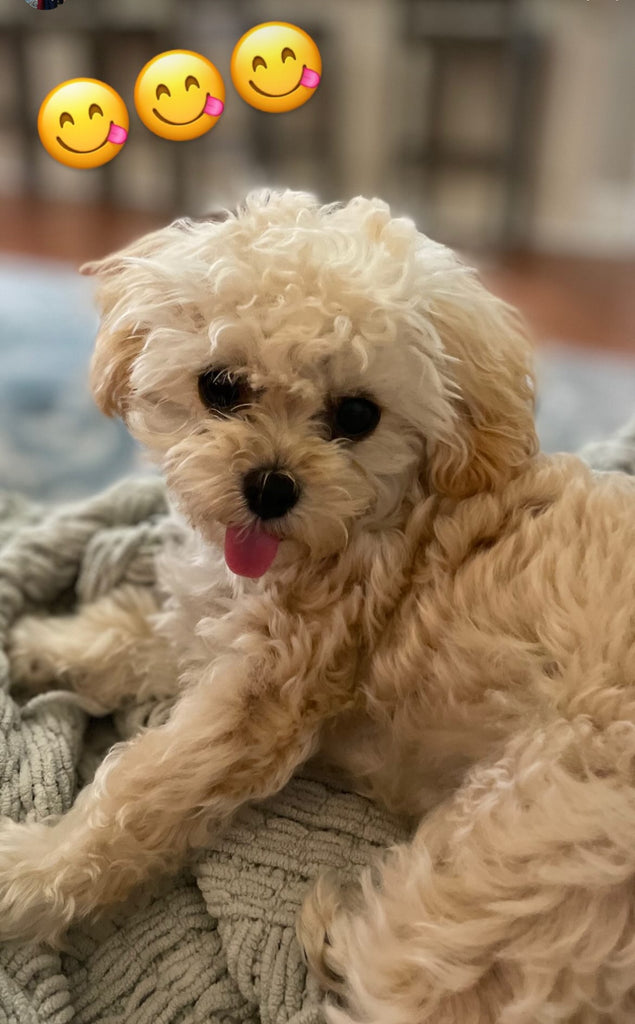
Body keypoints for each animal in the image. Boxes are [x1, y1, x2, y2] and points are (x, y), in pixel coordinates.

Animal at [3, 188, 635, 1019]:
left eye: (357, 415)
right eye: (219, 386)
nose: (269, 487)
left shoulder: (256, 706)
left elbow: (131, 798)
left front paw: (28, 871)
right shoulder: (216, 630)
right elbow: (138, 634)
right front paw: (45, 645)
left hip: (511, 844)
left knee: (403, 986)